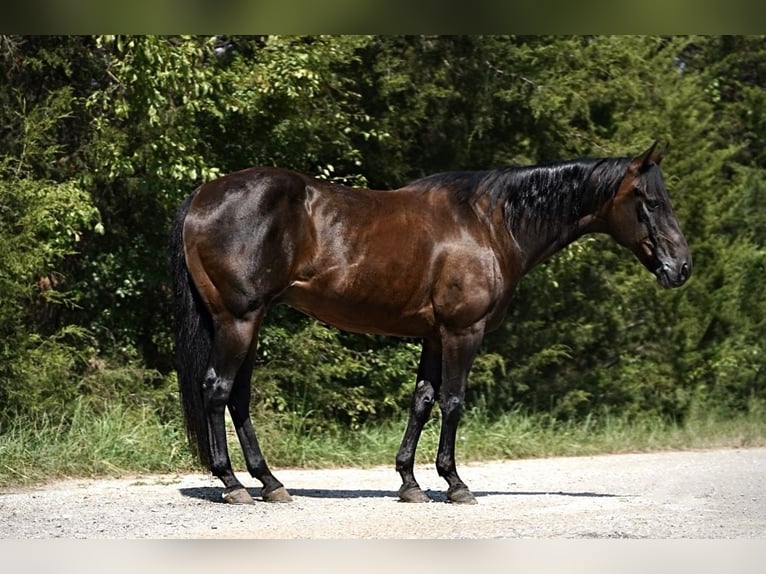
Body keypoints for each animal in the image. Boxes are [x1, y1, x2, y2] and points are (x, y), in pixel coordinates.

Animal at [171, 142, 692, 506]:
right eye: (649, 200)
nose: (681, 268)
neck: (488, 224)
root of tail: (202, 194)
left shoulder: (434, 336)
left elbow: (421, 402)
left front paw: (409, 482)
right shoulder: (464, 331)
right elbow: (454, 402)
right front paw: (456, 483)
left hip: (248, 321)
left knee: (237, 396)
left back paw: (270, 482)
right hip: (239, 319)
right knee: (218, 389)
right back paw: (234, 484)